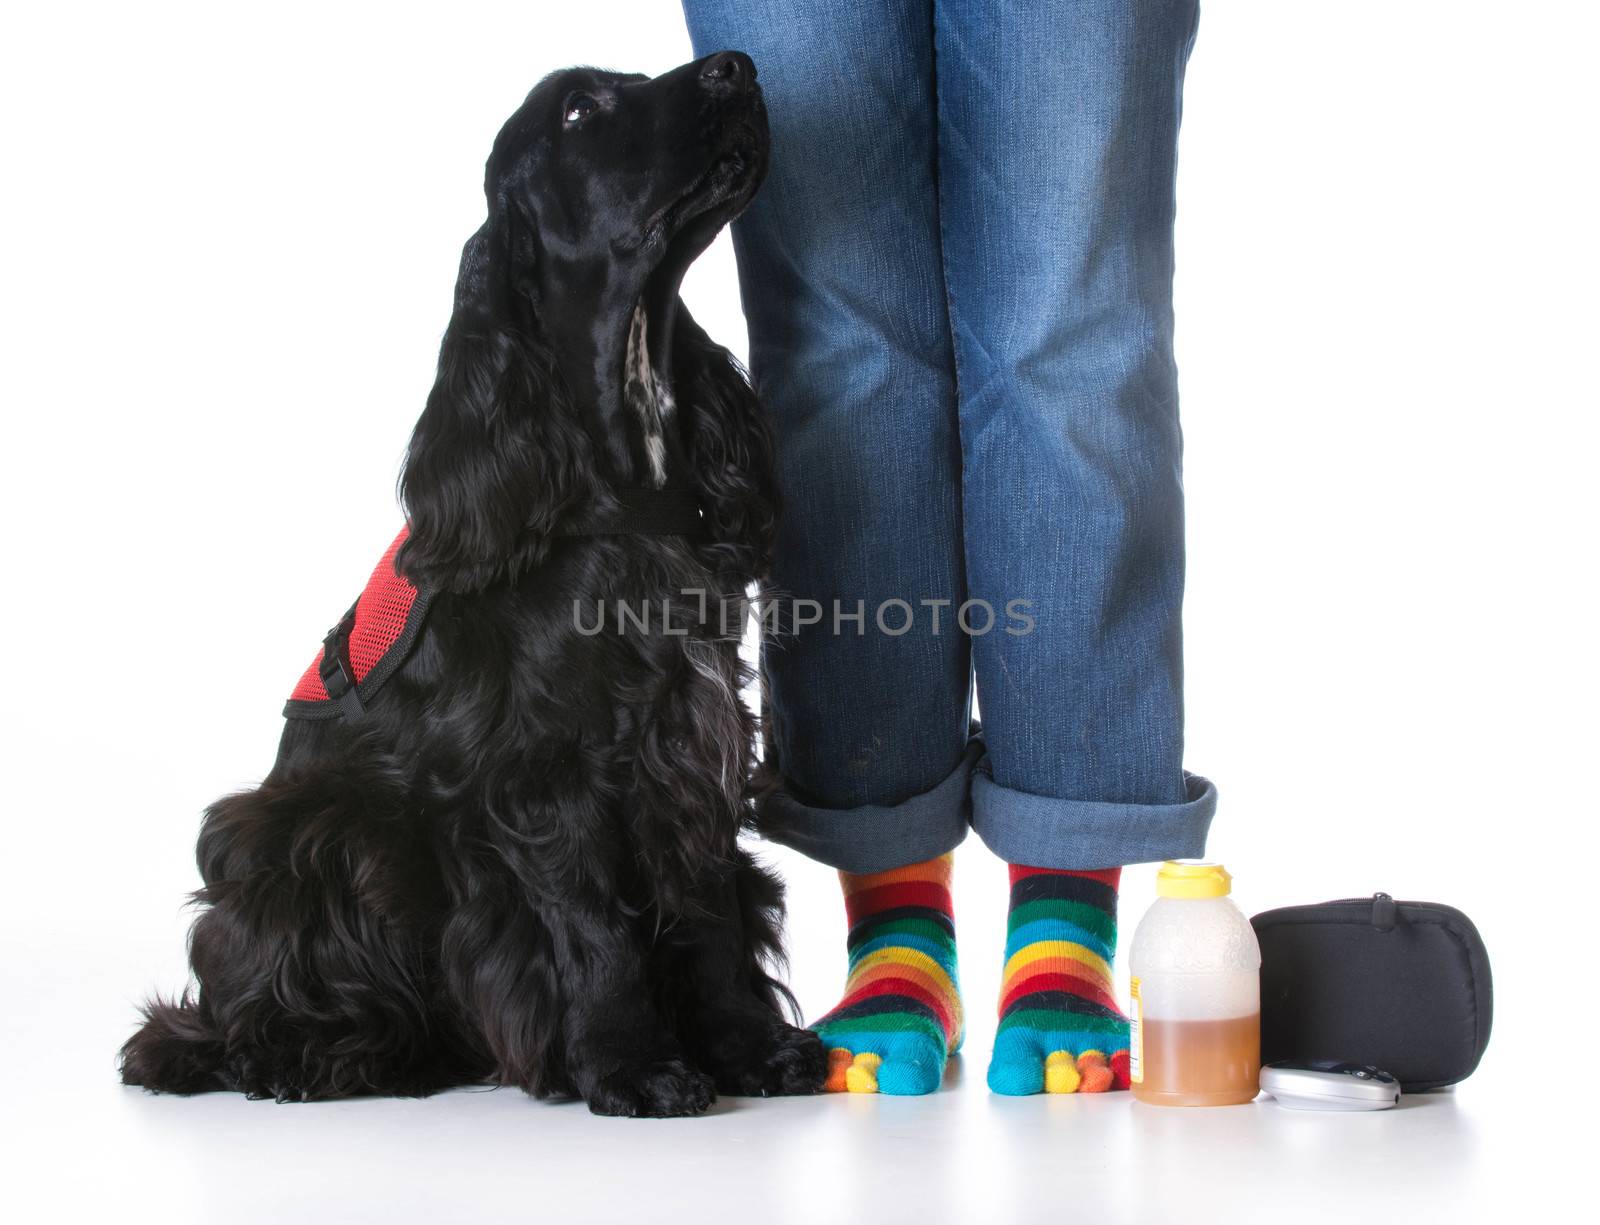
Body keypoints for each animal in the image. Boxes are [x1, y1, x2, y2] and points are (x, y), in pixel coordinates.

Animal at [120, 52, 825, 1119]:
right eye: (578, 110)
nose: (735, 67)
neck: (622, 479)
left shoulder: (691, 739)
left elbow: (705, 913)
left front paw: (754, 1050)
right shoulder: (547, 775)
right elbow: (595, 928)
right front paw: (634, 1068)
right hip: (317, 840)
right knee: (230, 1010)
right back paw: (302, 1057)